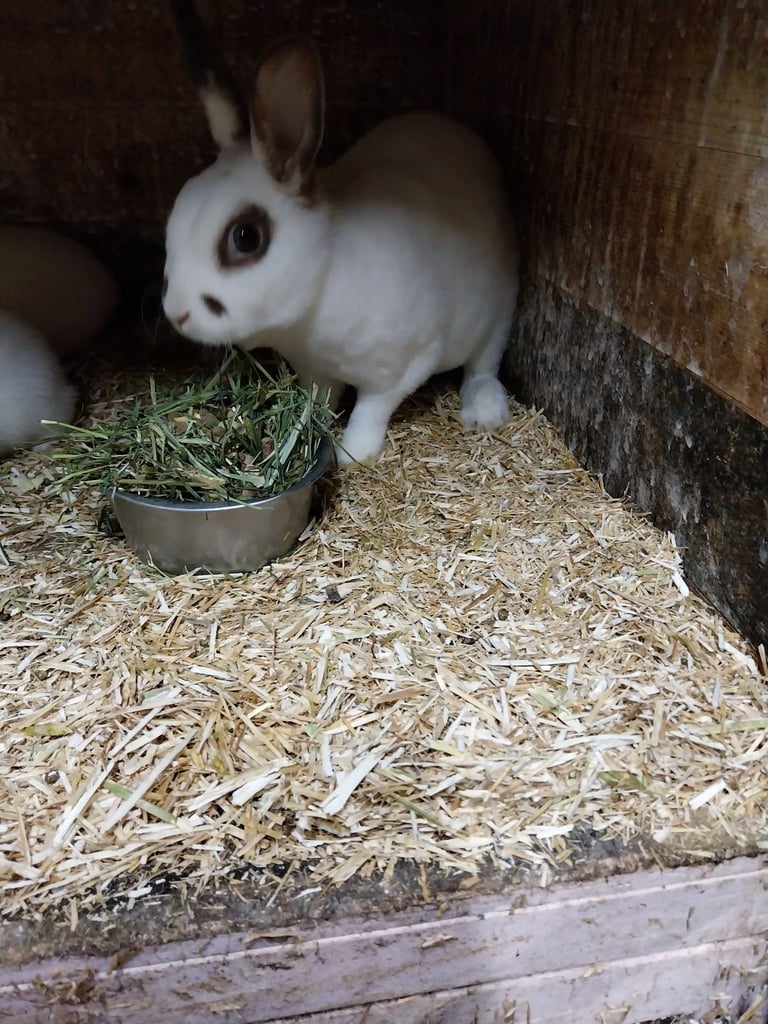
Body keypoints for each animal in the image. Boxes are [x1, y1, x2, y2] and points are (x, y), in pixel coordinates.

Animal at [163, 10, 518, 464]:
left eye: (246, 237)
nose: (177, 313)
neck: (325, 281)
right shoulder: (317, 371)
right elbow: (320, 400)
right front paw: (306, 428)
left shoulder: (404, 364)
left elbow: (371, 410)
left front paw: (352, 452)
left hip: (500, 311)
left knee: (483, 365)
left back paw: (483, 411)